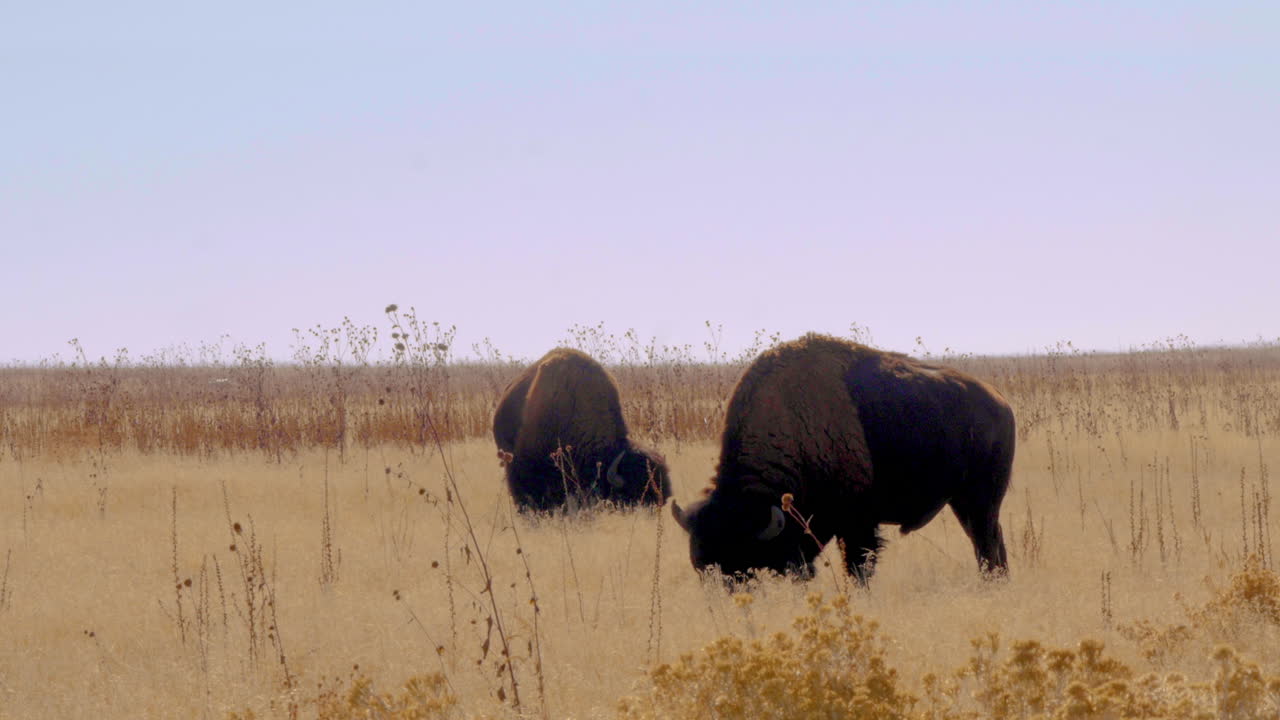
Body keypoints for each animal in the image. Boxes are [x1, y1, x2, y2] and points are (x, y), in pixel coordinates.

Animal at [672, 333, 1014, 583]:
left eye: (742, 562)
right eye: (700, 567)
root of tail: (1001, 403)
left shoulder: (858, 523)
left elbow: (859, 566)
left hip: (980, 501)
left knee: (986, 542)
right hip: (965, 502)